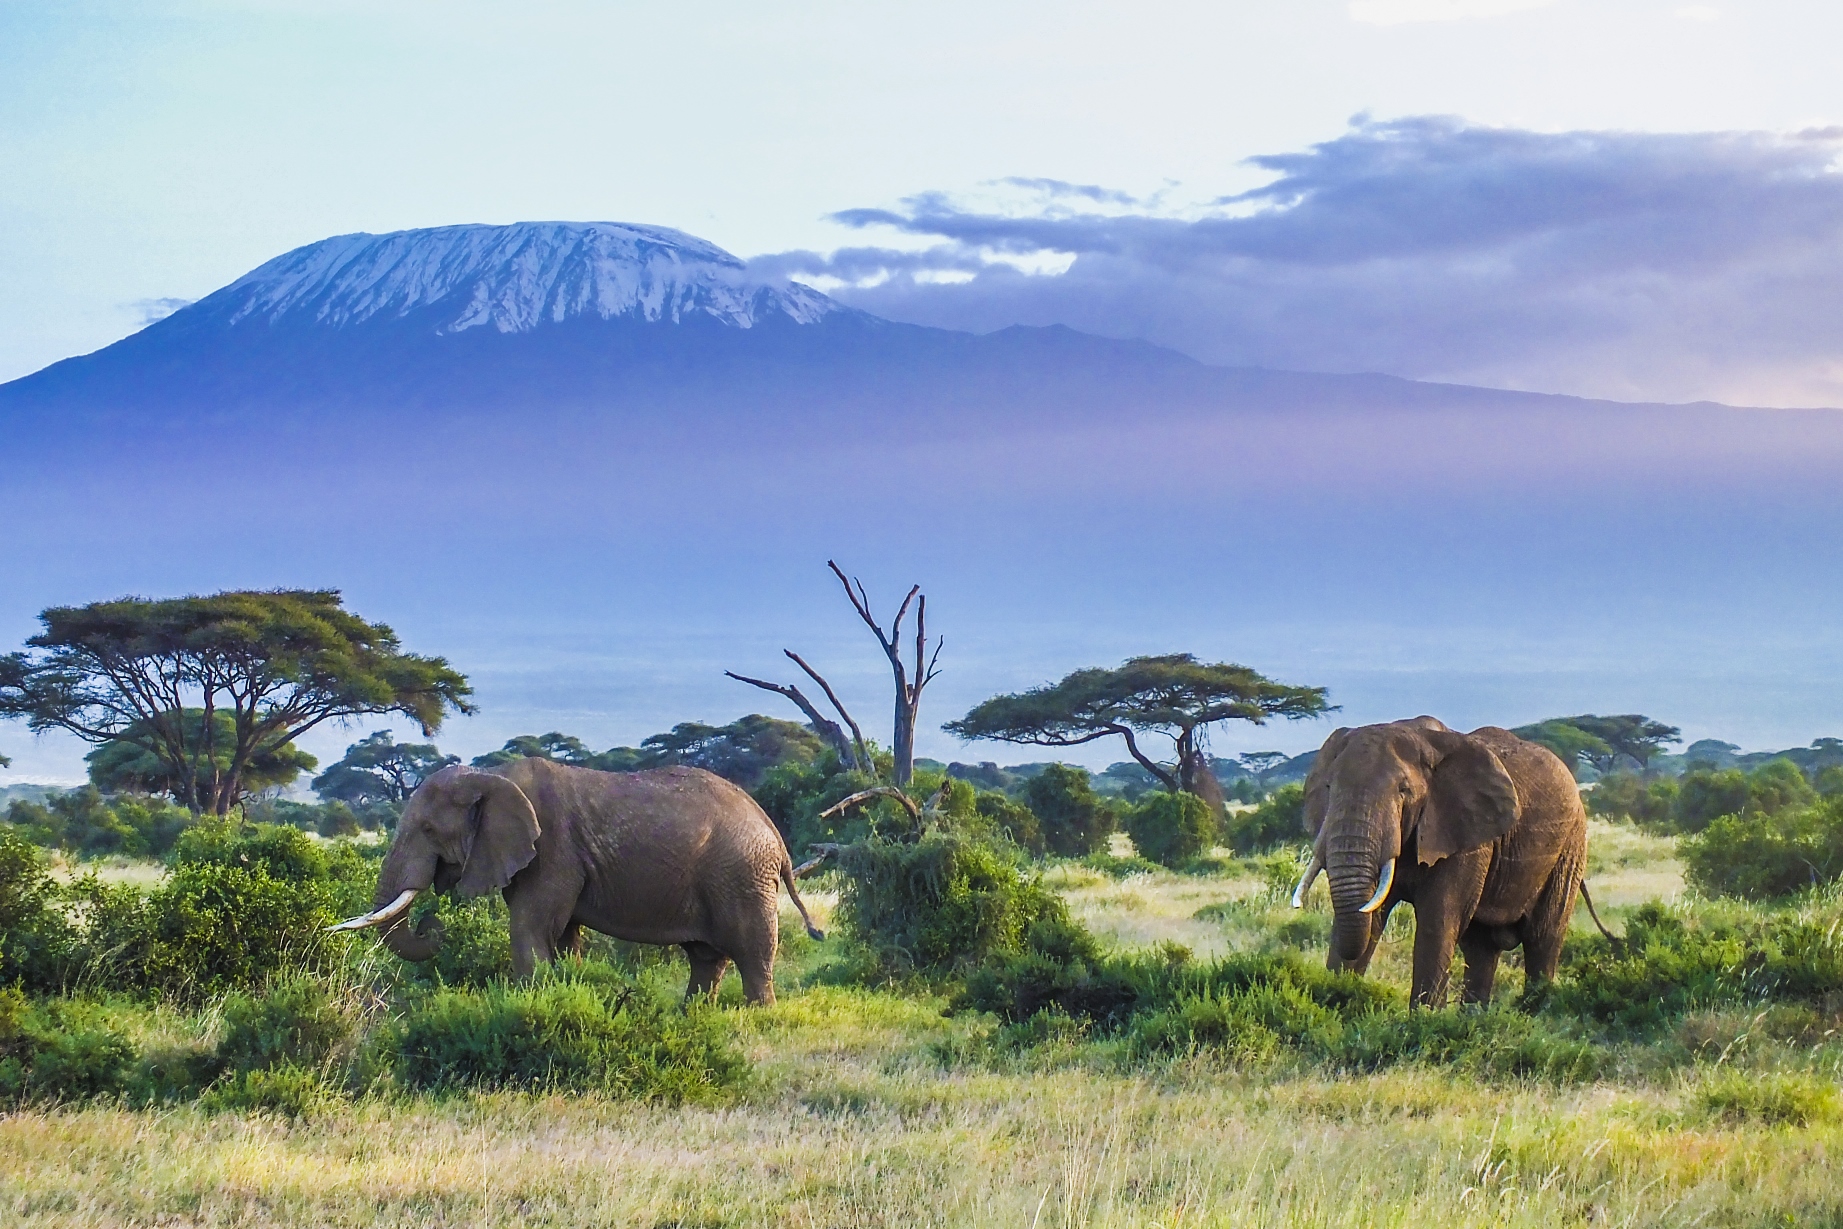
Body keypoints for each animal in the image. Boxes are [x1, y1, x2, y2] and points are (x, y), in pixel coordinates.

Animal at [328, 755, 825, 1002]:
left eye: (429, 830)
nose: (434, 925)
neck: (491, 776)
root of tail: (775, 835)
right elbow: (563, 935)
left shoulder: (552, 850)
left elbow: (530, 929)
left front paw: (530, 1004)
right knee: (706, 957)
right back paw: (693, 1016)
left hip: (741, 875)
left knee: (752, 952)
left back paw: (757, 1016)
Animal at [1290, 722, 1592, 1009]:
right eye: (1329, 788)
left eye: (1403, 791)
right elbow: (1371, 914)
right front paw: (1336, 1002)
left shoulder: (1465, 835)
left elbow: (1439, 919)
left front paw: (1423, 1019)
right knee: (1481, 947)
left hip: (1570, 847)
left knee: (1542, 938)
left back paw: (1532, 1012)